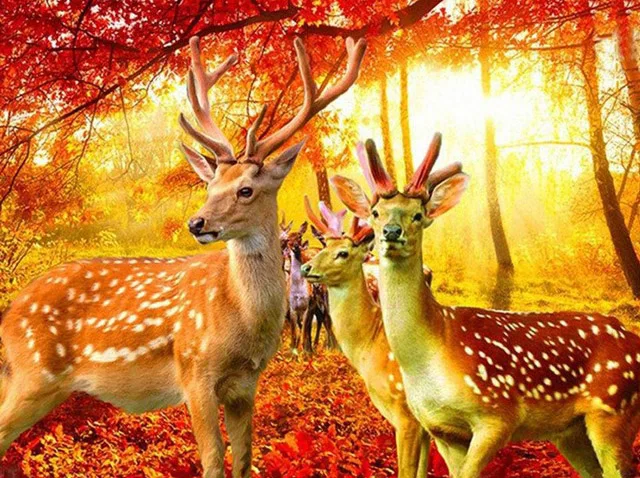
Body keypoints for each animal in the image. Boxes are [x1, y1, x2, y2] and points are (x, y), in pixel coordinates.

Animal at [0, 35, 366, 477]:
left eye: (246, 189)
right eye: (210, 186)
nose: (197, 222)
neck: (241, 319)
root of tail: (9, 313)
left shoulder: (246, 385)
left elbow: (244, 458)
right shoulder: (195, 371)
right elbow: (212, 458)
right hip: (34, 374)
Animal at [331, 133, 640, 478]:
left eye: (418, 215)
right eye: (376, 212)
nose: (391, 232)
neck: (436, 345)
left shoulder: (499, 414)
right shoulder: (442, 430)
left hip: (614, 411)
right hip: (571, 432)